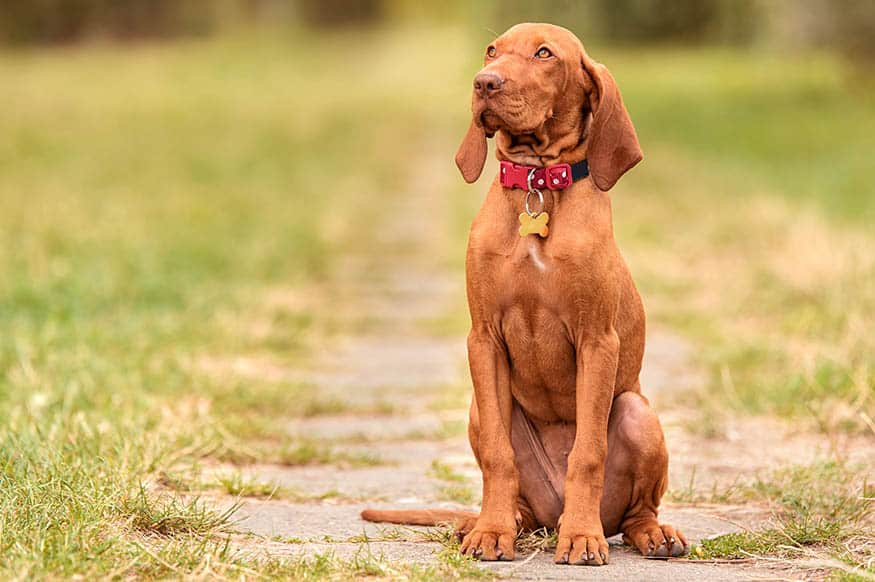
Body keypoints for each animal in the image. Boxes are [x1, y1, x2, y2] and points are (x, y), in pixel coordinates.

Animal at [360, 24, 688, 572]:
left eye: (544, 54)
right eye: (492, 50)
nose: (484, 83)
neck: (537, 184)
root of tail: (548, 518)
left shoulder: (598, 342)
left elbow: (587, 454)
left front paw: (582, 538)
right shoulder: (483, 339)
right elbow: (498, 455)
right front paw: (491, 534)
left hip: (636, 412)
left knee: (635, 511)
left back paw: (646, 533)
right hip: (481, 408)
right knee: (514, 491)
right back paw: (489, 523)